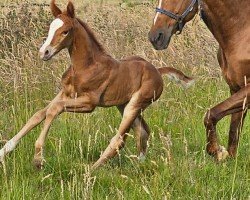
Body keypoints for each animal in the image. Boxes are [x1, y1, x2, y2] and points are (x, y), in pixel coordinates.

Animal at [0, 0, 194, 170]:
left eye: (65, 31)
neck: (85, 66)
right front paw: (4, 150)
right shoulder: (65, 93)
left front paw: (38, 158)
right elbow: (39, 114)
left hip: (135, 104)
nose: (44, 52)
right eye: (50, 28)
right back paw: (139, 164)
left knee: (119, 139)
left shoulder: (89, 103)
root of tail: (158, 71)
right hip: (124, 105)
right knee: (143, 132)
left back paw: (91, 170)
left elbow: (54, 109)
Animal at [149, 0, 249, 161]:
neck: (241, 33)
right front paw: (226, 156)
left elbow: (210, 115)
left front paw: (217, 151)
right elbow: (234, 134)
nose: (155, 37)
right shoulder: (236, 89)